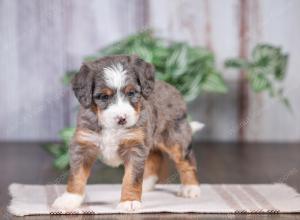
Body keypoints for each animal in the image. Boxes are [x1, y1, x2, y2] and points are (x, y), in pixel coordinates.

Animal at [52, 54, 203, 211]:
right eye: (104, 97)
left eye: (131, 93)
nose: (122, 119)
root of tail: (173, 89)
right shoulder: (83, 145)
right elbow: (76, 175)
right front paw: (69, 199)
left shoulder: (134, 147)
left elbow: (132, 178)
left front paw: (129, 201)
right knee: (155, 157)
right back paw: (147, 184)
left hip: (175, 139)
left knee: (187, 161)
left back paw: (190, 188)